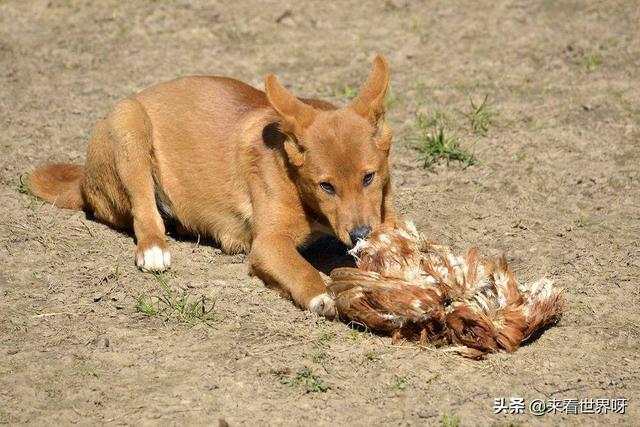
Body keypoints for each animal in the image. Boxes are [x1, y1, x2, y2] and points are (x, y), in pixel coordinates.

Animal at [31, 54, 400, 318]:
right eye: (326, 186)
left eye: (369, 177)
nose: (361, 235)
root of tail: (83, 179)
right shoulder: (268, 243)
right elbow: (300, 268)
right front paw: (321, 295)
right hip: (129, 124)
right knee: (143, 211)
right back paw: (154, 248)